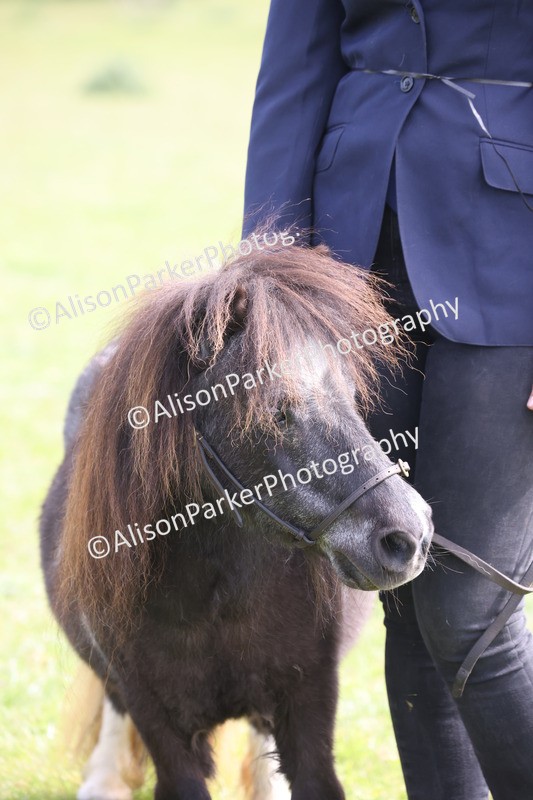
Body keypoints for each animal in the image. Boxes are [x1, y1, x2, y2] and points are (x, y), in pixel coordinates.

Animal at [40, 236, 433, 800]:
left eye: (352, 398)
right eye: (277, 410)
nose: (411, 535)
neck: (212, 592)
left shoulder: (308, 706)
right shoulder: (159, 724)